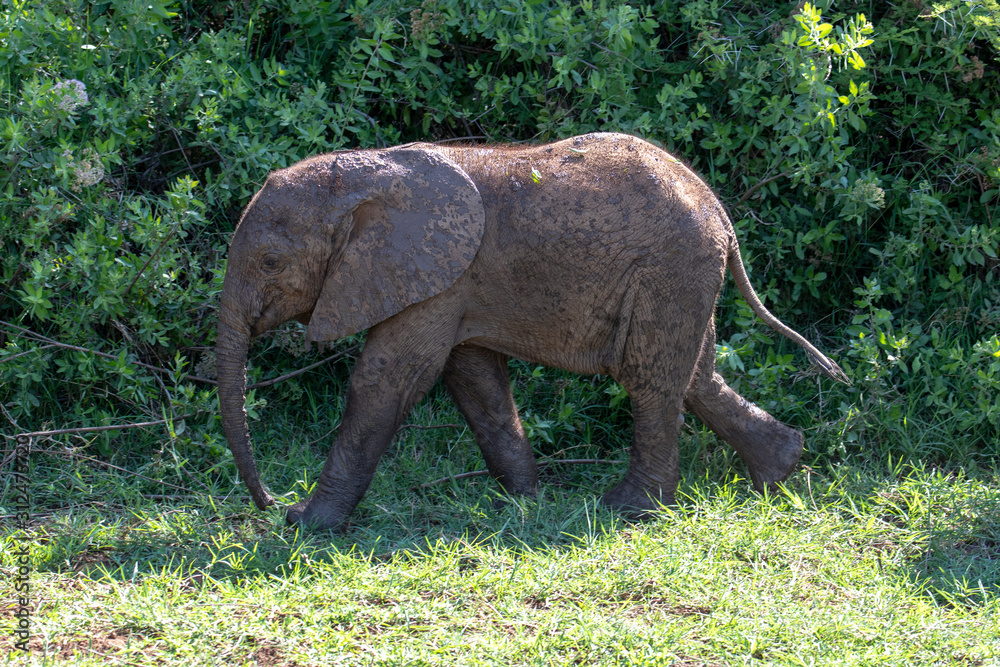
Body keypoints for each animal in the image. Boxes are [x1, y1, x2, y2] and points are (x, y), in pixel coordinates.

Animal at [216, 132, 848, 532]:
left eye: (270, 262)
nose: (271, 501)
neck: (364, 173)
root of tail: (721, 215)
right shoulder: (455, 285)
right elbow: (475, 381)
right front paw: (525, 502)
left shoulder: (438, 277)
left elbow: (386, 379)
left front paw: (309, 526)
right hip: (685, 275)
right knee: (693, 374)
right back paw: (780, 470)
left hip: (669, 269)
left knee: (649, 378)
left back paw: (628, 511)